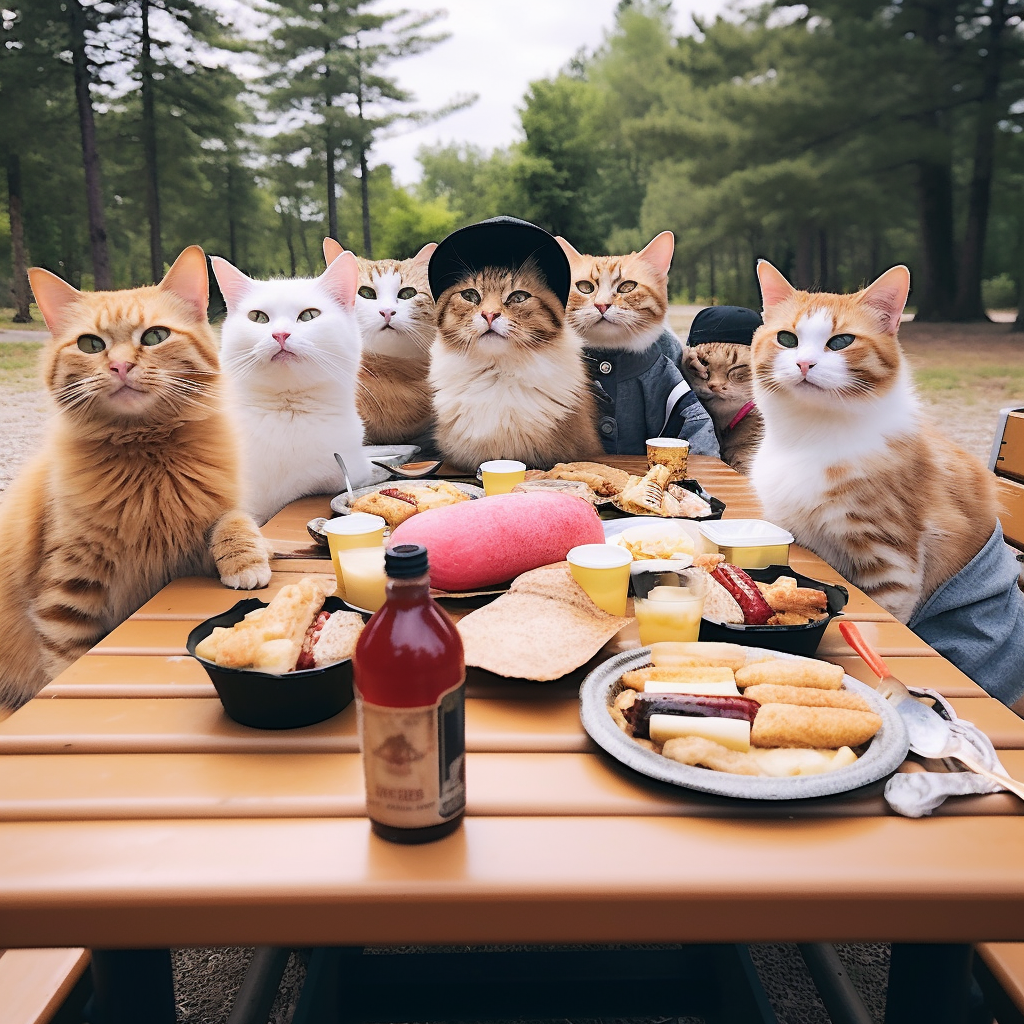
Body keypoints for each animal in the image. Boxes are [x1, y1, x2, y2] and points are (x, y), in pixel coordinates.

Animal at [0, 244, 272, 708]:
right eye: (91, 345)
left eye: (155, 337)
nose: (121, 366)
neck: (146, 456)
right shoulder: (67, 592)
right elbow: (66, 664)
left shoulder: (188, 546)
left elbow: (233, 519)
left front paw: (247, 561)